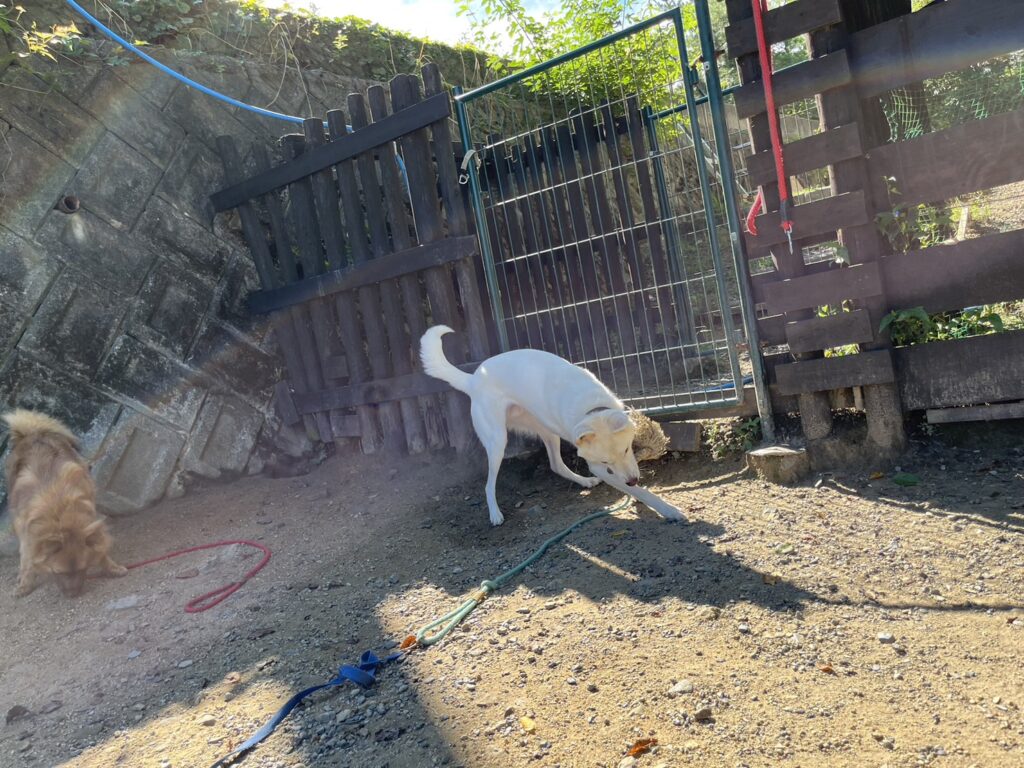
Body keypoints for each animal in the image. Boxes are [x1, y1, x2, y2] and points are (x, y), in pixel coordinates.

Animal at [3, 409, 127, 597]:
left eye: (83, 569)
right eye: (58, 572)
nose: (73, 594)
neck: (59, 514)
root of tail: (33, 433)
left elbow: (100, 548)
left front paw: (111, 567)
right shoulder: (27, 534)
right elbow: (27, 561)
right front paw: (25, 584)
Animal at [420, 325, 685, 526]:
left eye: (627, 449)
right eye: (605, 461)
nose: (631, 481)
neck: (590, 409)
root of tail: (473, 379)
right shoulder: (597, 465)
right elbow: (638, 490)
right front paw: (667, 510)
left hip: (547, 432)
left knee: (556, 465)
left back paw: (584, 482)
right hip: (497, 442)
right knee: (488, 484)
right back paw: (495, 514)